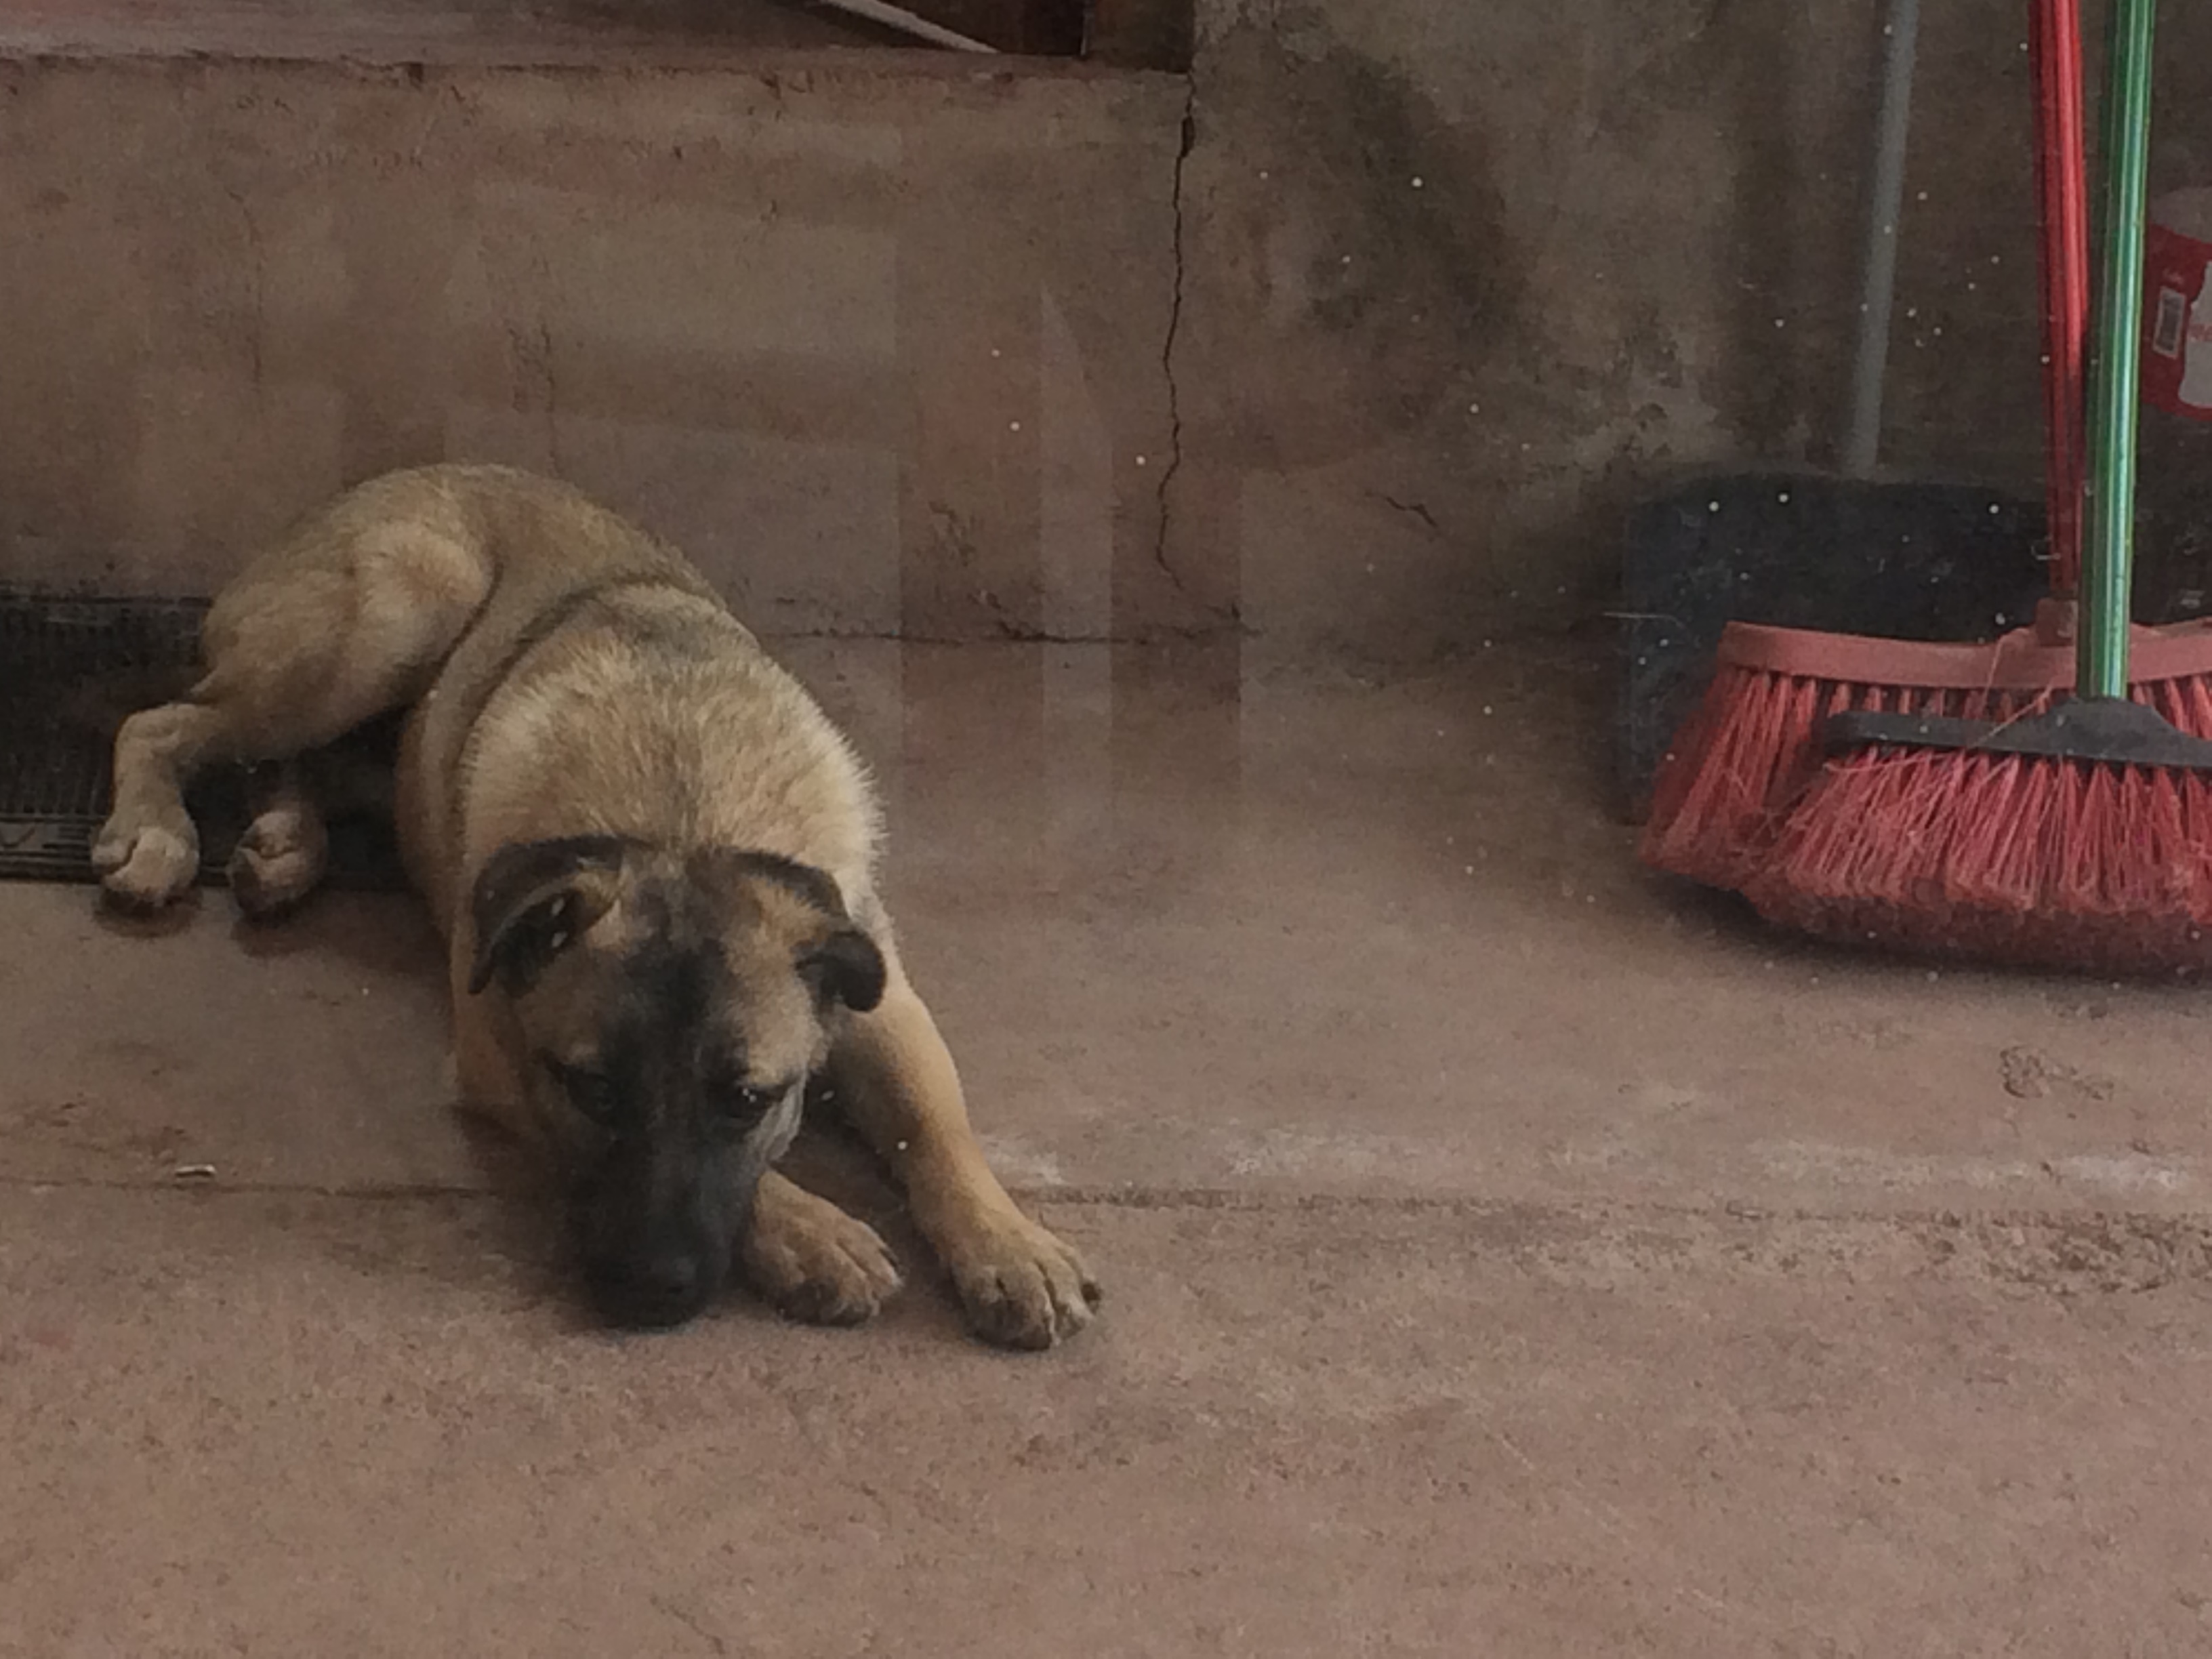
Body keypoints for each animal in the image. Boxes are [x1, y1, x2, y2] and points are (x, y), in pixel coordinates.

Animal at [92, 463, 1099, 1349]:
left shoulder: (881, 998)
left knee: (288, 762)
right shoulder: (498, 1052)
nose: (648, 1291)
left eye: (748, 1099)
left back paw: (286, 844)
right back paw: (157, 834)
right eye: (594, 1090)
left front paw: (1009, 1243)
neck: (687, 816)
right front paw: (810, 1228)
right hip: (399, 610)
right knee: (167, 725)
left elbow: (935, 1121)